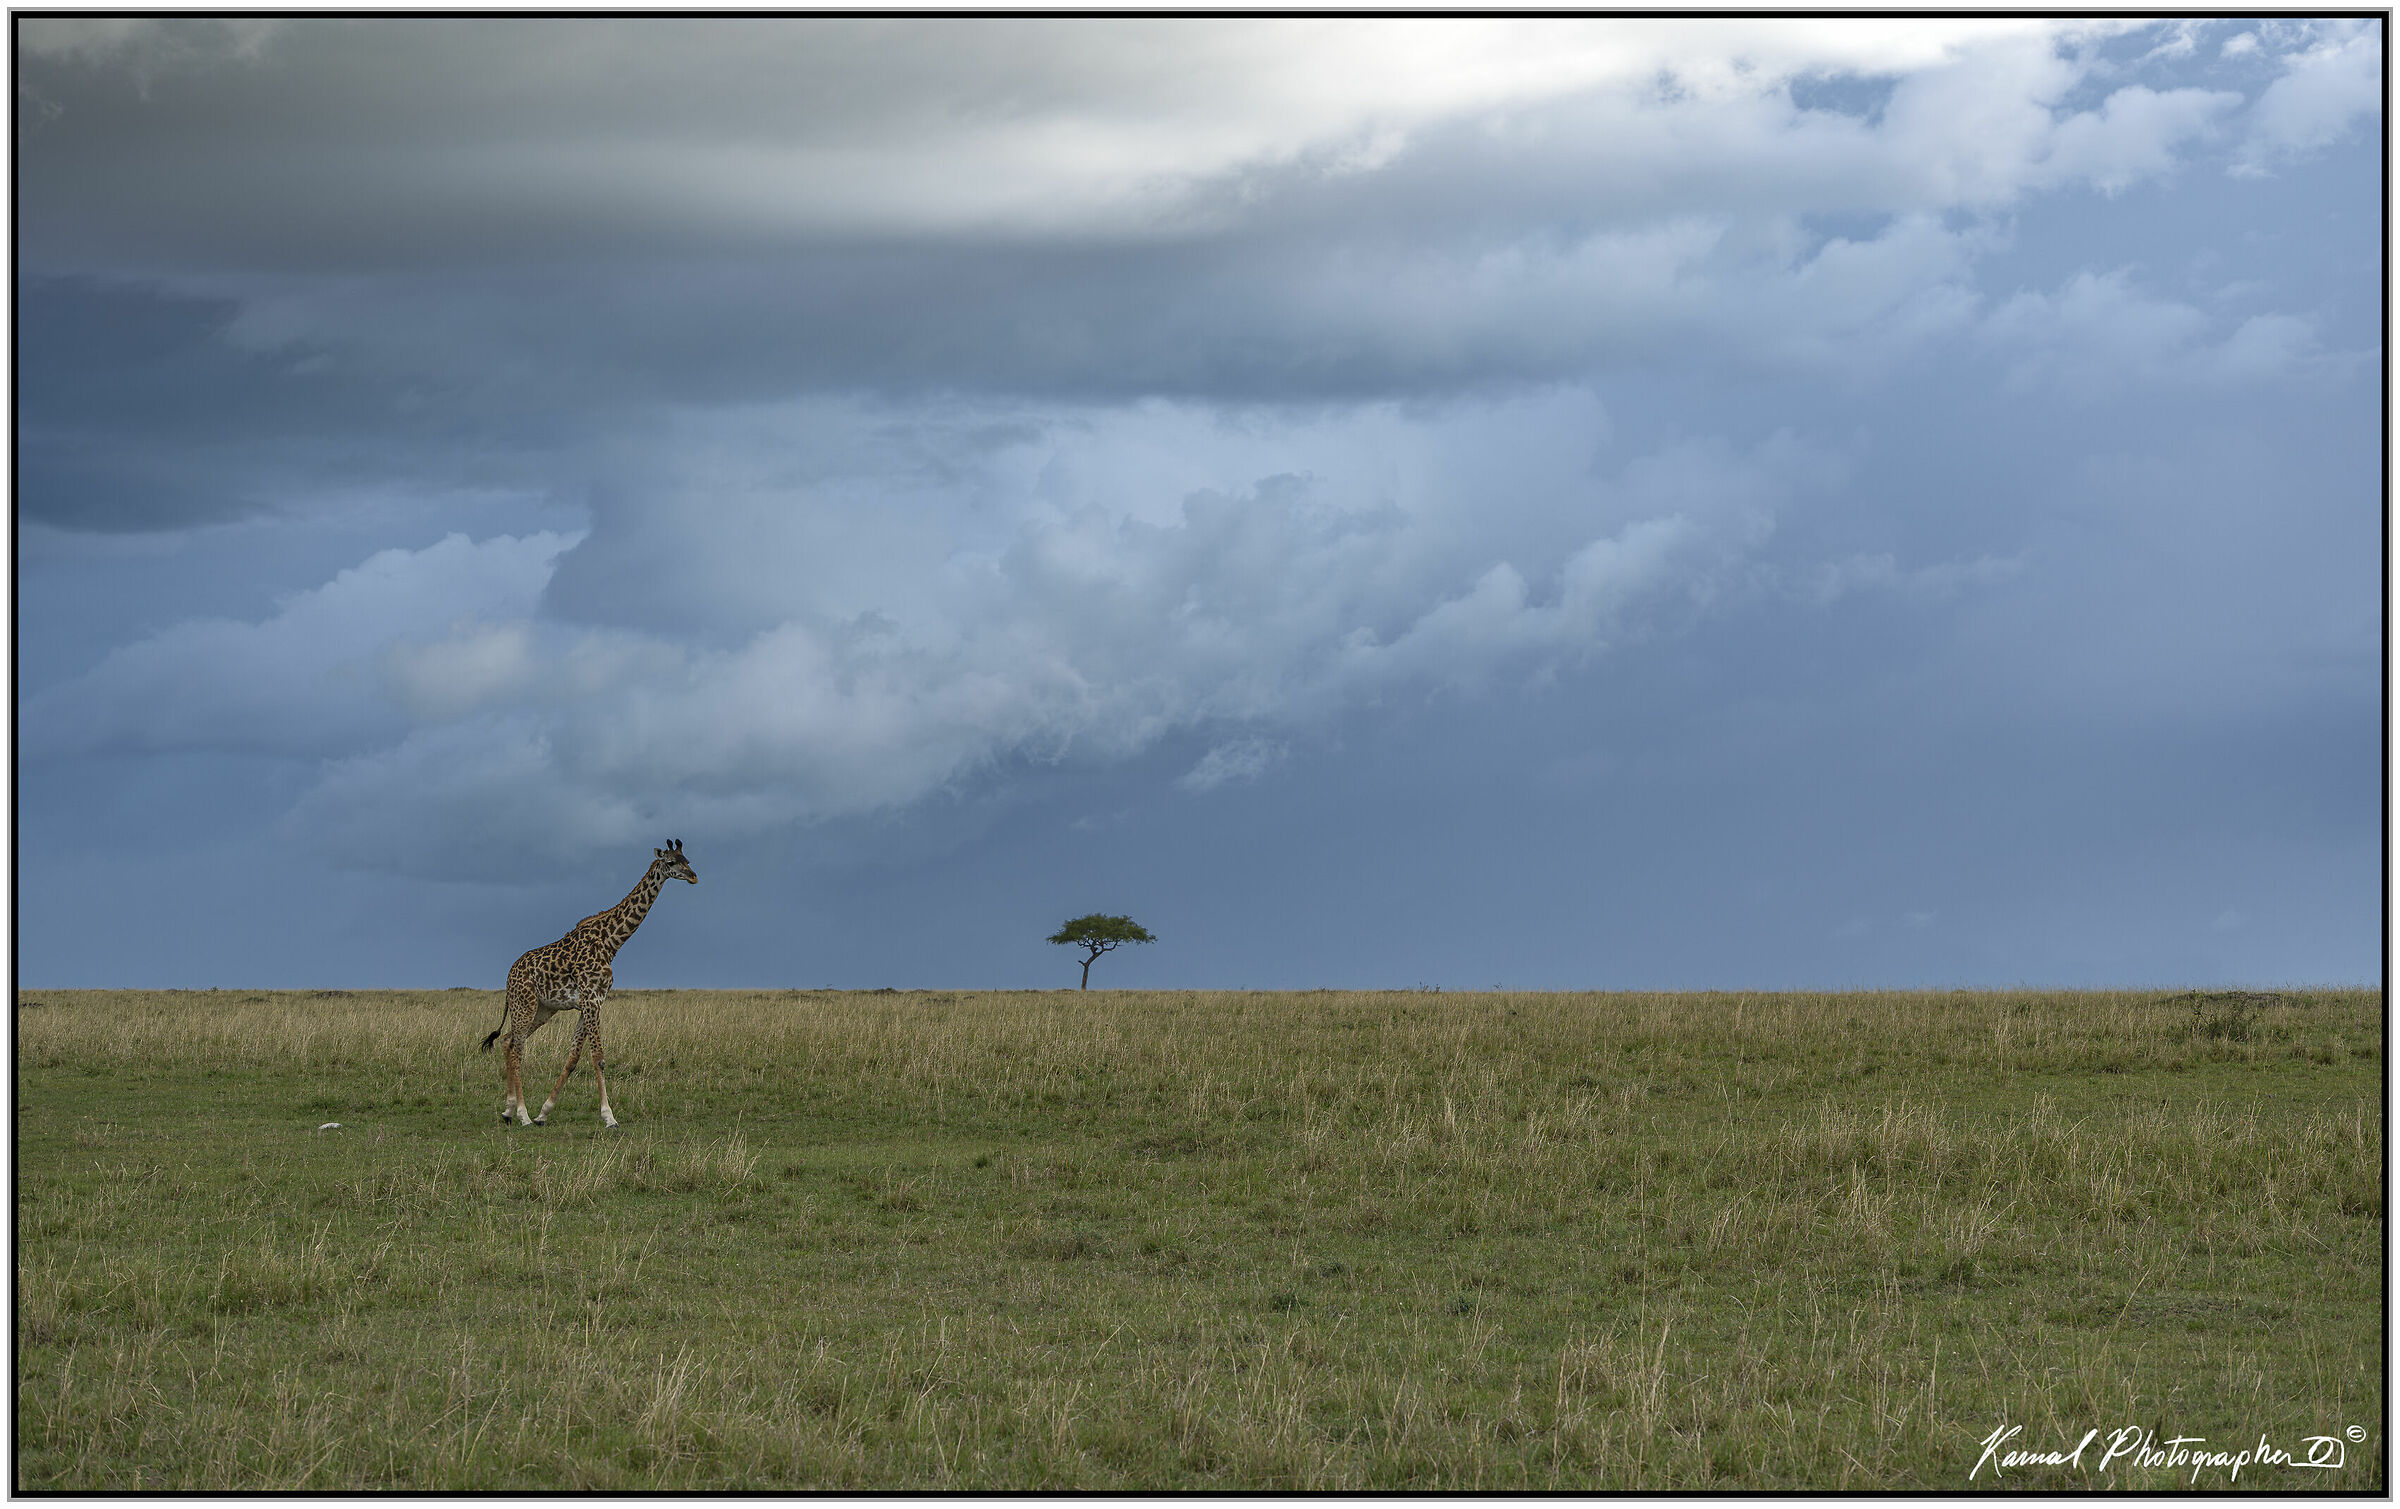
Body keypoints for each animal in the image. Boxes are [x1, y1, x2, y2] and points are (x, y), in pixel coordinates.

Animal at [481, 839, 698, 1127]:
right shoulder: (591, 999)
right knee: (517, 1049)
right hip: (524, 1004)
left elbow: (573, 1057)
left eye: (687, 859)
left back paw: (508, 1111)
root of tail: (509, 977)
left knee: (507, 1041)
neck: (611, 942)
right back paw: (522, 1114)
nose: (694, 876)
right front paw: (609, 1117)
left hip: (543, 1009)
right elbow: (599, 1058)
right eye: (672, 862)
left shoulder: (593, 1001)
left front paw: (544, 1112)